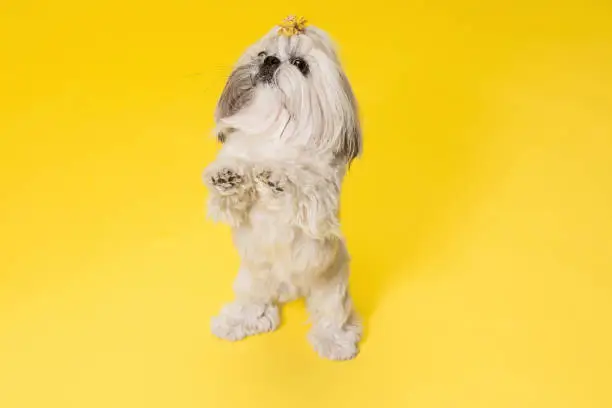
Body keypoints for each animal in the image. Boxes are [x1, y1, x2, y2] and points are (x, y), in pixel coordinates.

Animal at [203, 15, 360, 360]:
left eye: (300, 64)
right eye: (264, 54)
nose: (271, 61)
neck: (275, 126)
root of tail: (290, 289)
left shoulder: (322, 200)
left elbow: (305, 183)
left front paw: (278, 177)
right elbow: (231, 192)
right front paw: (227, 176)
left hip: (332, 288)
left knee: (333, 318)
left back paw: (335, 342)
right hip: (251, 282)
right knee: (255, 308)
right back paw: (237, 322)